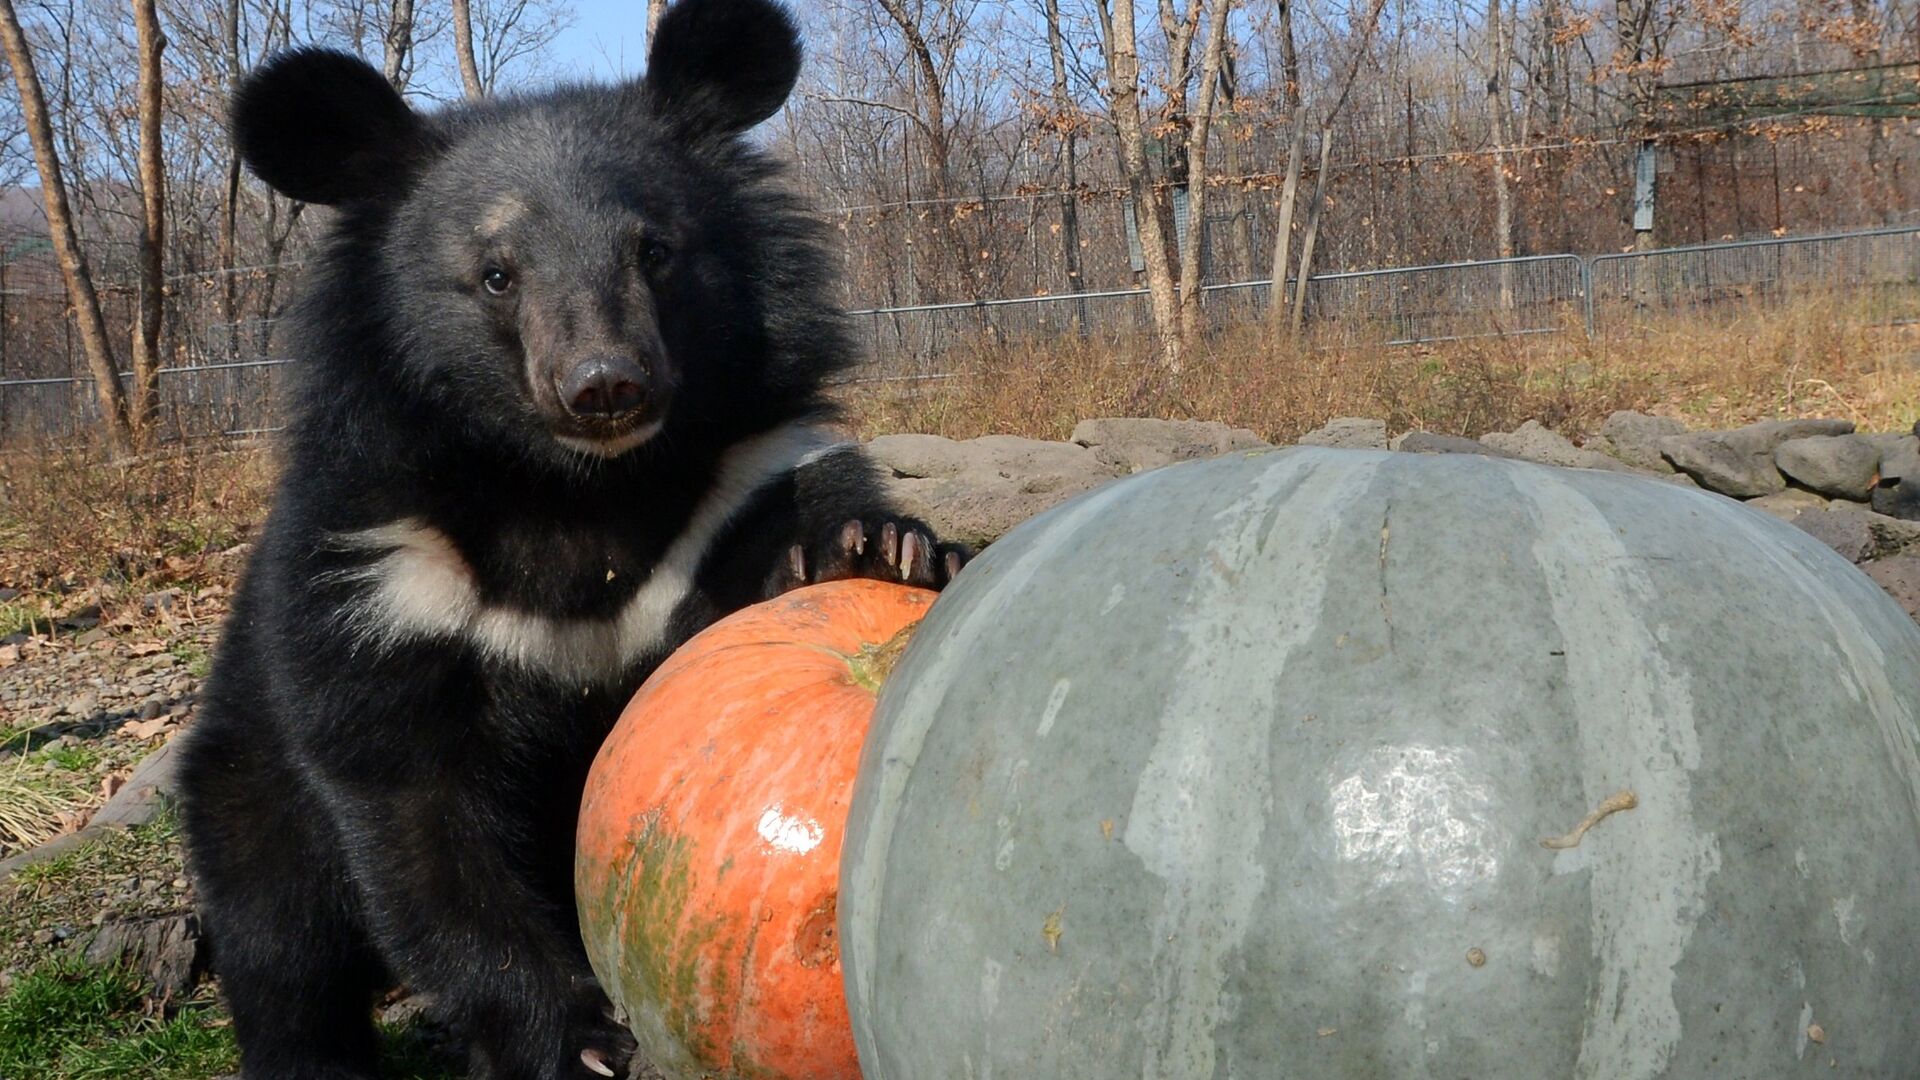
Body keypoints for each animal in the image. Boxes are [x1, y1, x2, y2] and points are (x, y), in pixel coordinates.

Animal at [172, 2, 960, 1076]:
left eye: (655, 251)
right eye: (497, 275)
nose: (605, 384)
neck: (570, 486)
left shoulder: (744, 464)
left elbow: (801, 512)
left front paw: (885, 551)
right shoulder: (379, 576)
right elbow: (418, 826)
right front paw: (576, 1039)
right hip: (243, 774)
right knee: (280, 942)